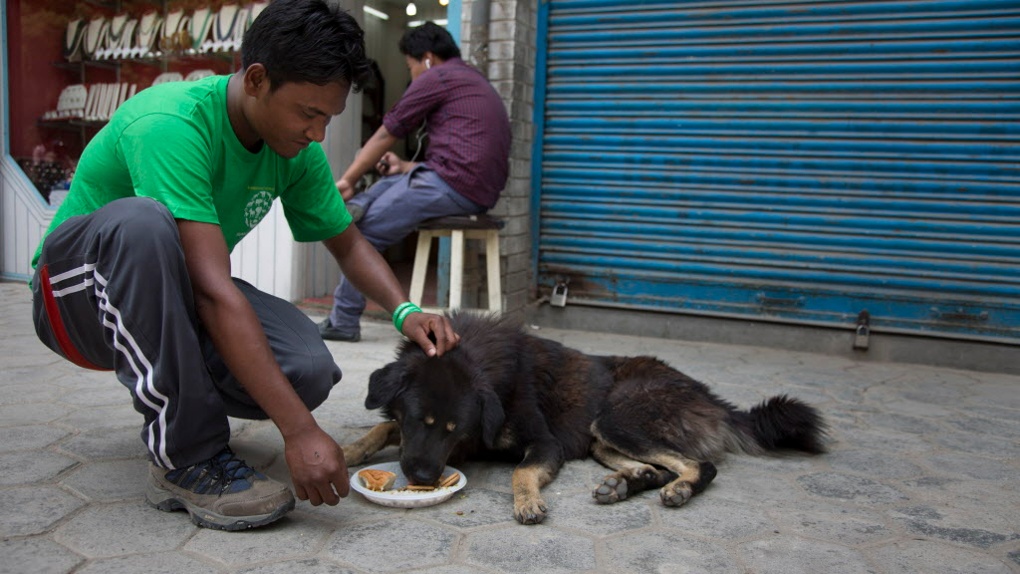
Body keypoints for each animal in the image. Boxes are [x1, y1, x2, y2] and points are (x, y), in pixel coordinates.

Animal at [342, 309, 828, 526]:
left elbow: (521, 471)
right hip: (602, 436)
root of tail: (712, 397)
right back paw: (626, 483)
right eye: (418, 420)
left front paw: (527, 501)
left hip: (617, 419)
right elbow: (384, 424)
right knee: (653, 467)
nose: (423, 478)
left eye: (451, 428)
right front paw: (349, 451)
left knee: (698, 465)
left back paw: (679, 488)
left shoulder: (542, 443)